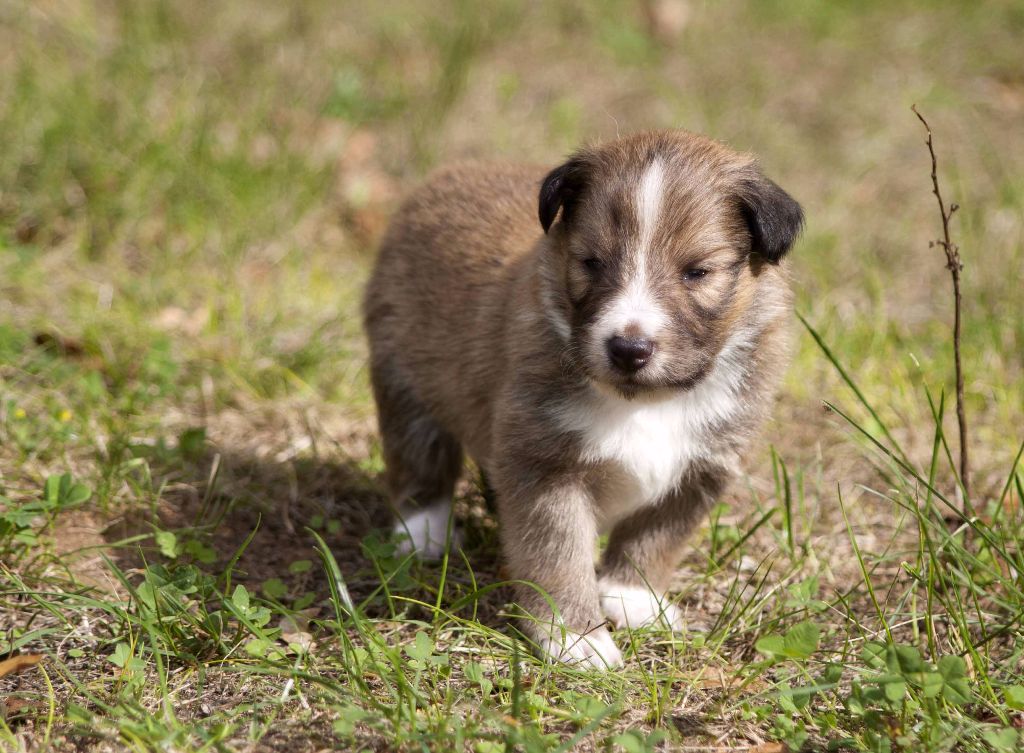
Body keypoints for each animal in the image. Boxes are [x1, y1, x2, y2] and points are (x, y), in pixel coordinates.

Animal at [364, 131, 802, 672]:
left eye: (697, 272)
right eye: (592, 262)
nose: (629, 348)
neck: (647, 403)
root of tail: (444, 179)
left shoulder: (704, 467)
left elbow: (655, 536)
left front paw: (633, 597)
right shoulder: (546, 468)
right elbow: (557, 556)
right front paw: (576, 638)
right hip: (404, 382)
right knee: (418, 462)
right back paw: (425, 535)